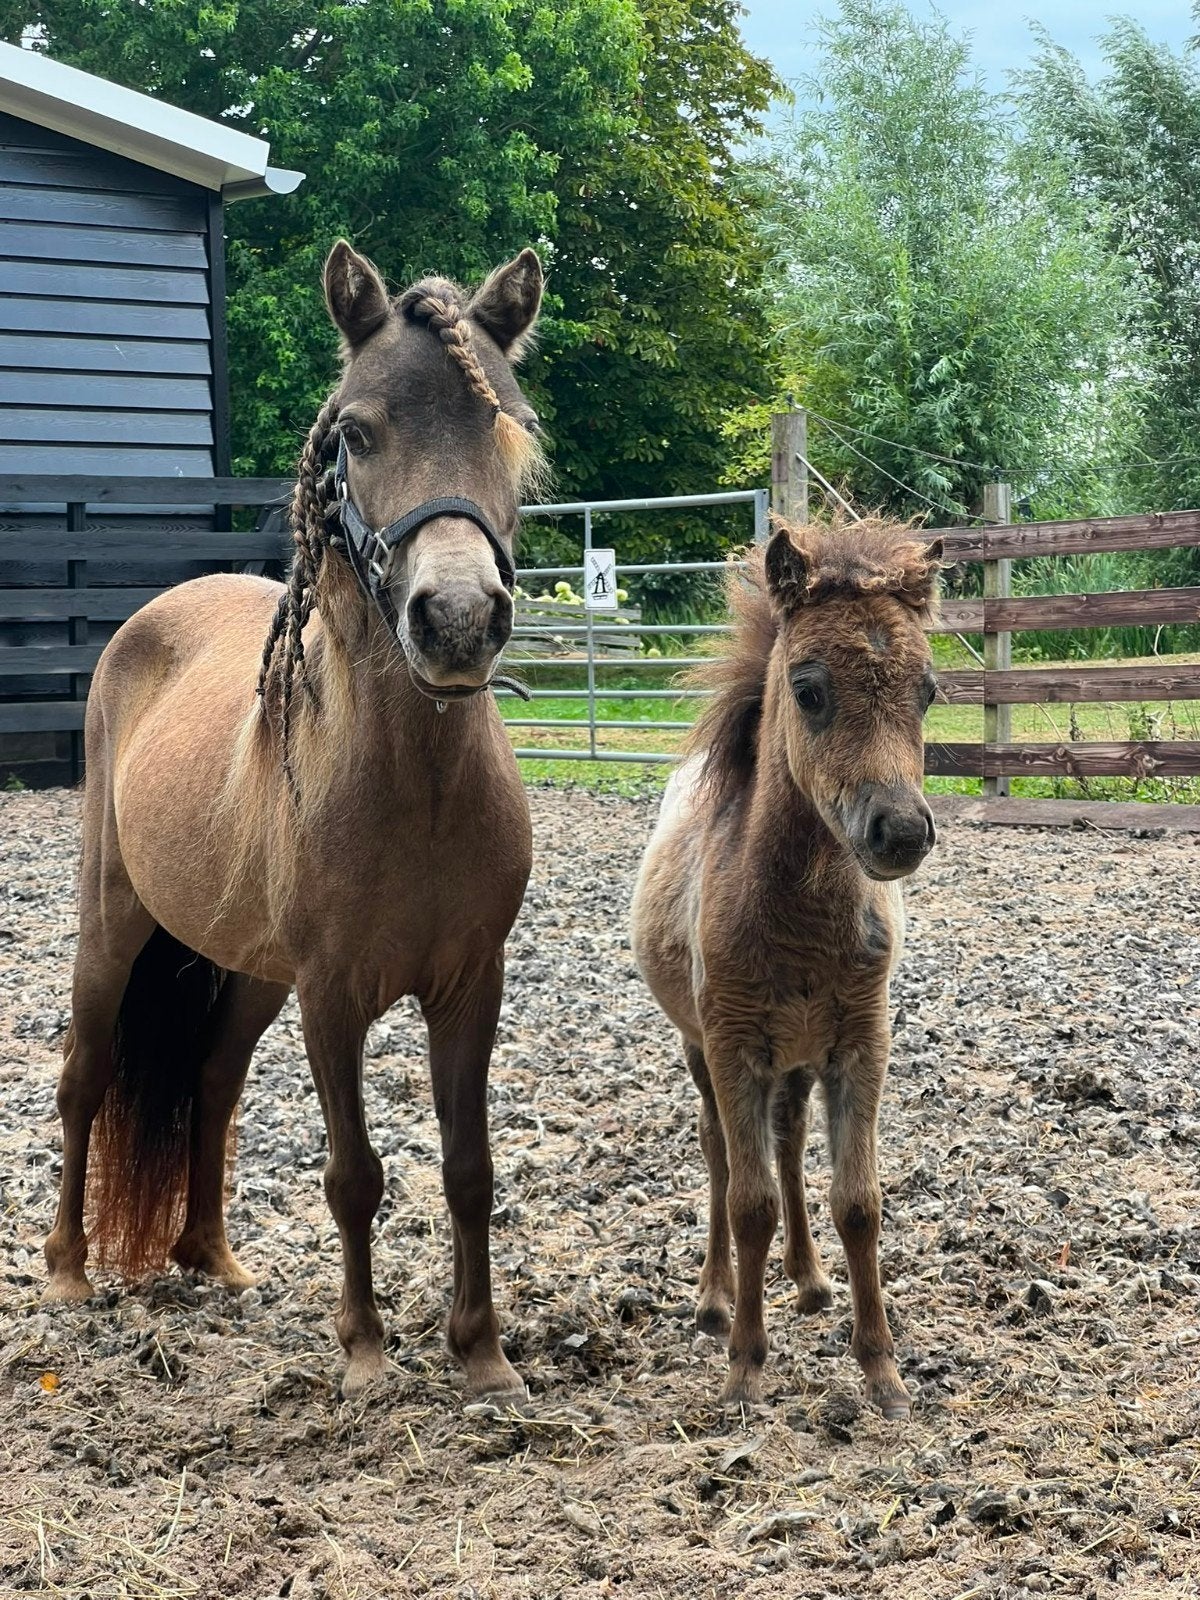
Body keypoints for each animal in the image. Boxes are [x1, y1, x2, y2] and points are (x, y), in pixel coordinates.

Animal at [43, 240, 548, 1403]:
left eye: (509, 425)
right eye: (356, 433)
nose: (458, 621)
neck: (415, 789)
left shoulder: (471, 985)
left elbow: (469, 1167)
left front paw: (483, 1354)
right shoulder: (334, 995)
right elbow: (355, 1172)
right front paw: (363, 1350)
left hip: (249, 972)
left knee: (213, 1083)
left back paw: (213, 1259)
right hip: (115, 926)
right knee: (85, 1078)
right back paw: (68, 1270)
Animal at [630, 518, 943, 1418]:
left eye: (929, 691)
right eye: (808, 690)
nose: (900, 833)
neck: (799, 923)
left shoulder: (861, 1046)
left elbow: (857, 1202)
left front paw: (882, 1370)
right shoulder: (734, 1045)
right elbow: (749, 1200)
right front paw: (744, 1366)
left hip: (799, 1059)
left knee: (792, 1140)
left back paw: (806, 1281)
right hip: (704, 1049)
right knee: (720, 1152)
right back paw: (714, 1297)